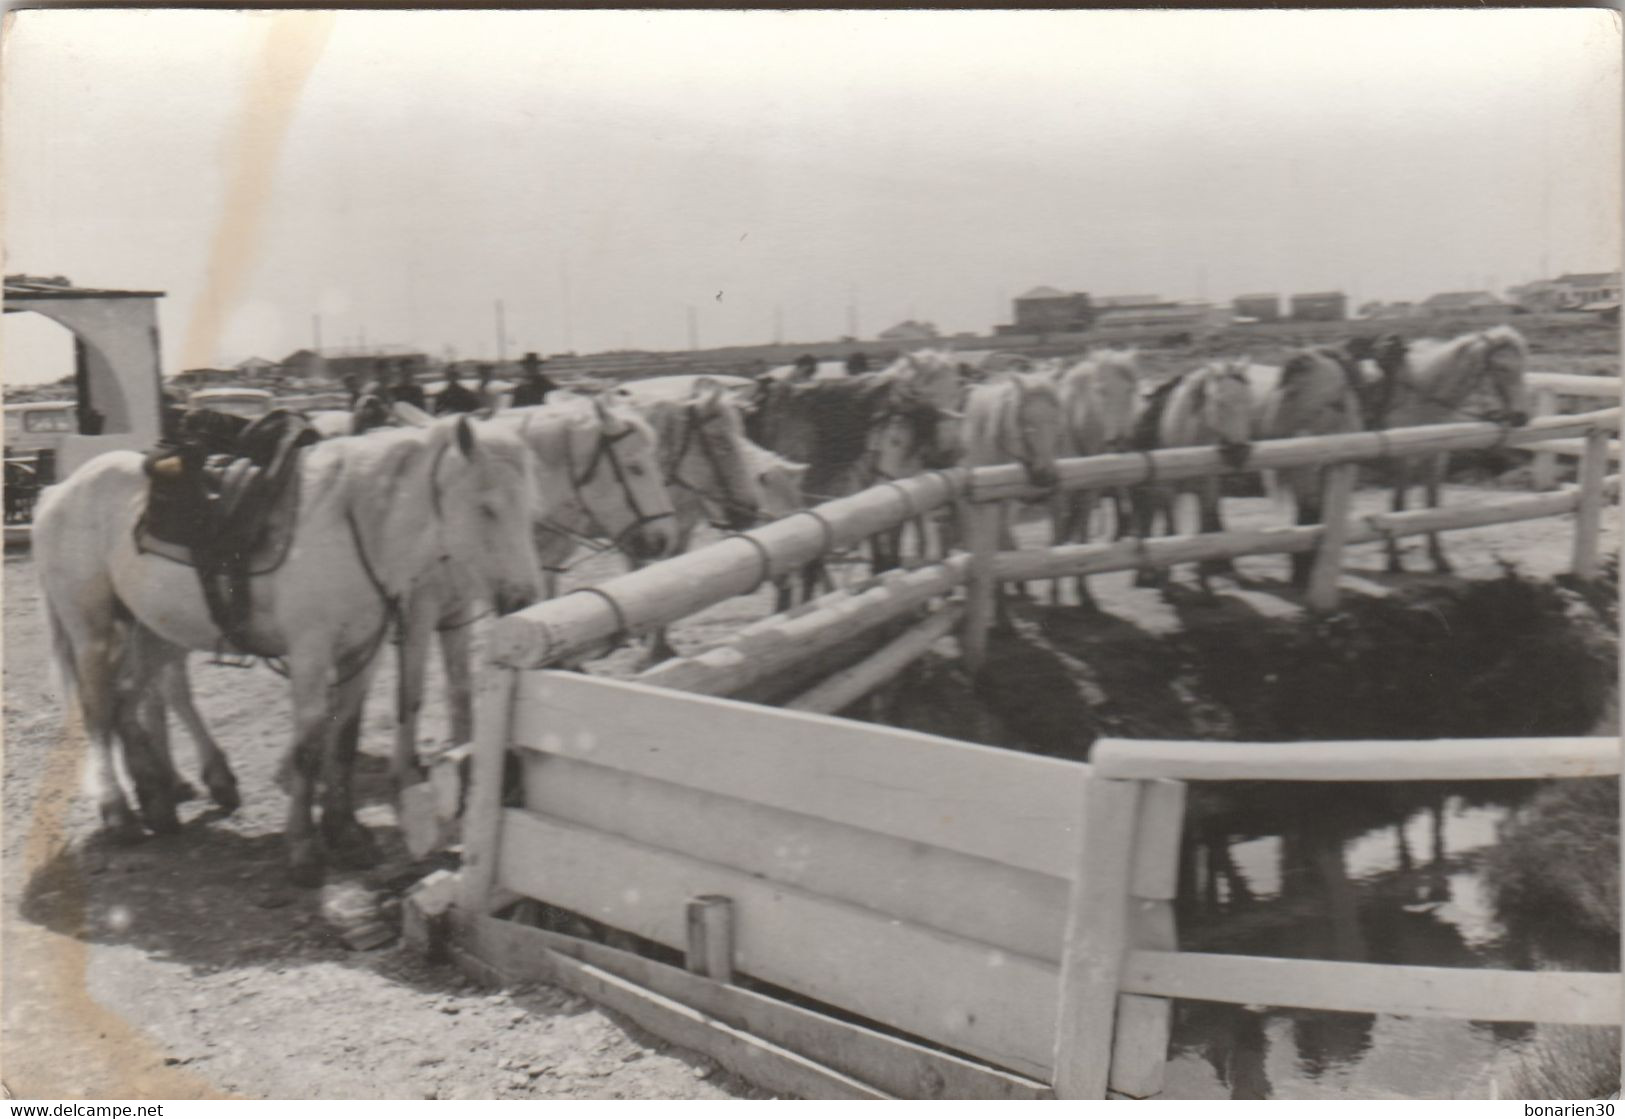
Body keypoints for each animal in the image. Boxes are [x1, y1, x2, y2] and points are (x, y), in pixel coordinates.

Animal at [34, 414, 542, 883]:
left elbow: (343, 741)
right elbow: (308, 747)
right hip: (92, 631)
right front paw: (304, 847)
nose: (522, 599)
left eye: (528, 505)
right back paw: (120, 812)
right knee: (101, 712)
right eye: (487, 507)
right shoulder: (311, 654)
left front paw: (346, 832)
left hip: (151, 631)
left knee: (130, 701)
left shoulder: (363, 654)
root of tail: (57, 492)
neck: (356, 524)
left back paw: (161, 801)